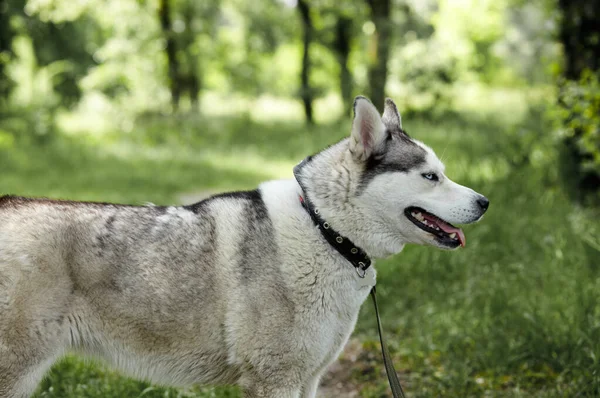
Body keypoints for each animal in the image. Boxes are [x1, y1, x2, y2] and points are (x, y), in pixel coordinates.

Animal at [0, 97, 488, 398]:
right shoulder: (274, 379)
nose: (485, 202)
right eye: (430, 177)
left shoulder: (308, 379)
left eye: (442, 172)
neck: (325, 229)